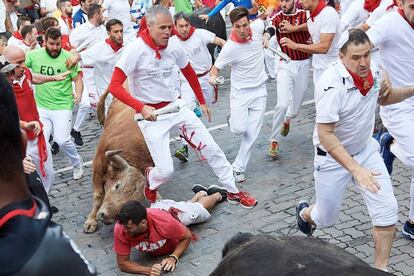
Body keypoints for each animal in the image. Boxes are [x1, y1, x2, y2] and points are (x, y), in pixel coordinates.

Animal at [83, 90, 154, 233]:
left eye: (134, 199)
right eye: (117, 186)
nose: (104, 216)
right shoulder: (97, 165)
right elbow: (98, 195)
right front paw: (91, 221)